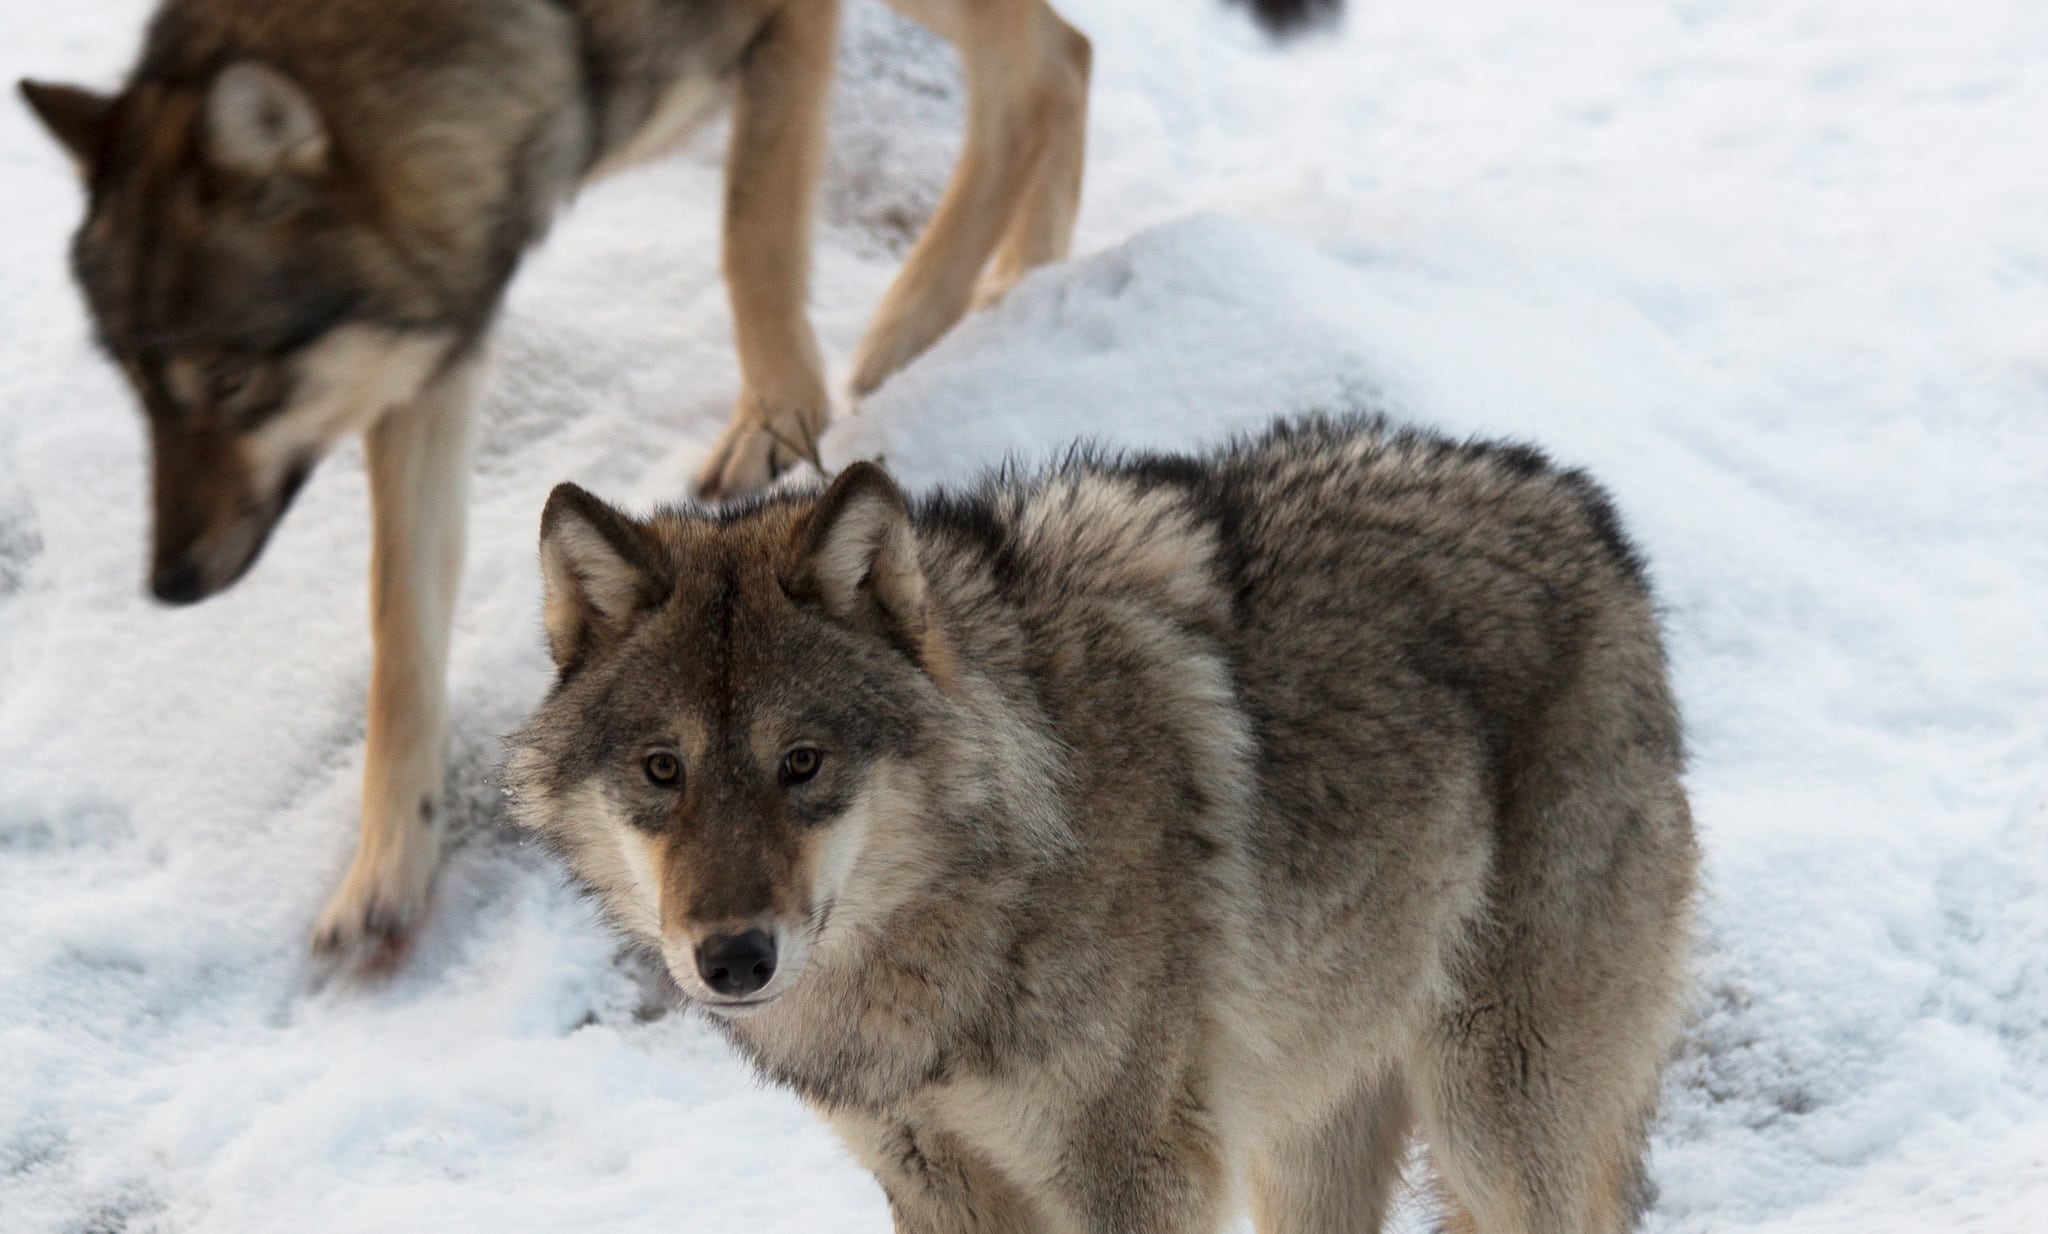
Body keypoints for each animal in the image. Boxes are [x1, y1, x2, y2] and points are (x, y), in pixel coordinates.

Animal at [507, 417, 1695, 1234]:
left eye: (801, 763)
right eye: (662, 770)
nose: (733, 958)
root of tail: (1582, 510)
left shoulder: (1136, 1172)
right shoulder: (938, 1184)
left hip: (1497, 1121)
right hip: (1311, 1130)